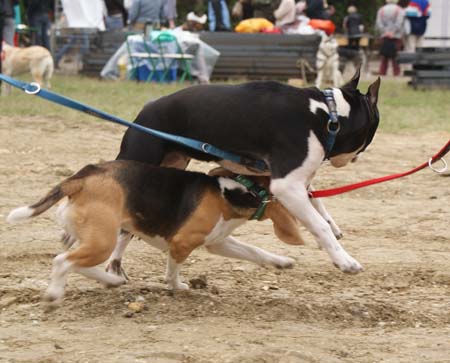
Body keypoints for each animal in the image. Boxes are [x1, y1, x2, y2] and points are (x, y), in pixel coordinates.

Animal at [113, 69, 380, 274]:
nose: (357, 157)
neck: (328, 113)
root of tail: (145, 110)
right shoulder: (286, 185)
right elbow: (317, 224)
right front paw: (344, 261)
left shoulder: (283, 177)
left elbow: (317, 204)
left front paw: (332, 227)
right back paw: (113, 267)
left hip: (171, 163)